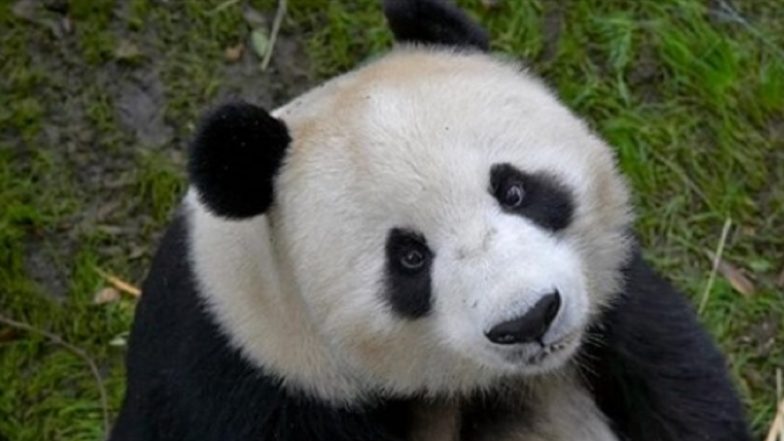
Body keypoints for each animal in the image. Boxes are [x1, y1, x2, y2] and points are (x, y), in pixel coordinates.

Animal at [110, 1, 752, 440]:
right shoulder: (247, 386)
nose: (528, 319)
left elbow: (676, 377)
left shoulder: (612, 302)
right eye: (410, 257)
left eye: (514, 190)